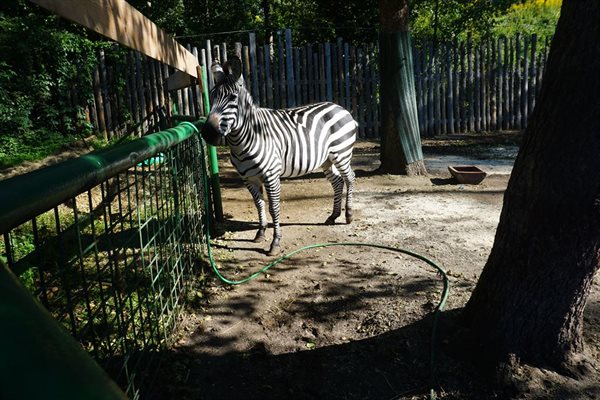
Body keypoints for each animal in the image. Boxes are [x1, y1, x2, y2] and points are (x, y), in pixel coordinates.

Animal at [201, 56, 357, 255]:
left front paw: (275, 242)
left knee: (350, 178)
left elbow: (273, 208)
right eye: (212, 96)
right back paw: (333, 216)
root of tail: (339, 107)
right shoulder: (248, 178)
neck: (244, 140)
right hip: (326, 160)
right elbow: (259, 204)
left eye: (232, 97)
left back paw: (348, 214)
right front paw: (260, 233)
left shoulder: (271, 175)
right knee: (337, 182)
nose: (207, 133)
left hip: (341, 153)